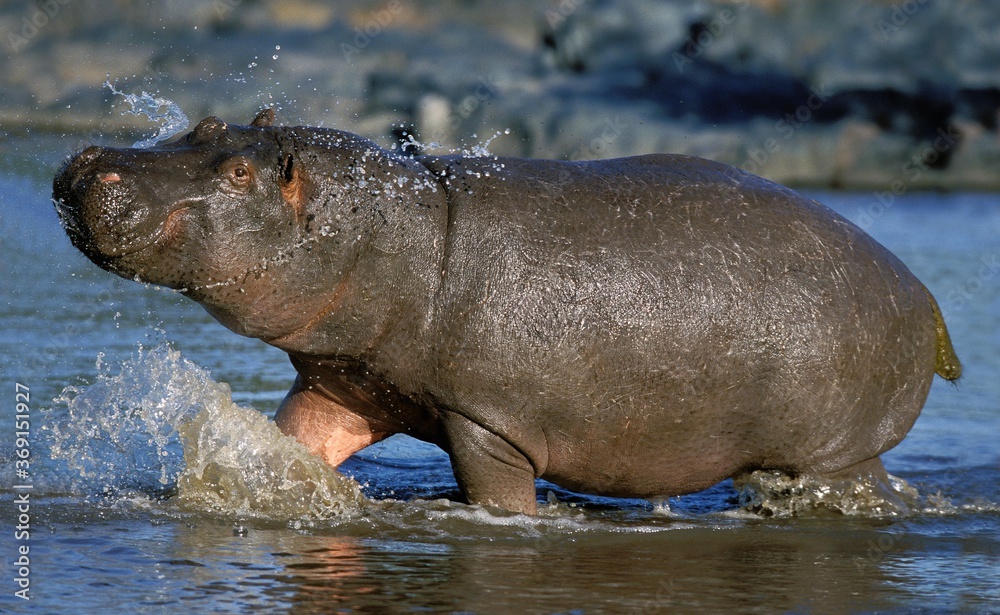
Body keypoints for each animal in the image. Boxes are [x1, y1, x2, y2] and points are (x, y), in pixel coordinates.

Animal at [53, 109, 961, 514]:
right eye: (206, 125)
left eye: (241, 174)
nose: (90, 161)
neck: (402, 233)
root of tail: (925, 297)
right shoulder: (346, 385)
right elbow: (294, 446)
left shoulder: (487, 421)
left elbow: (498, 499)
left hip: (835, 451)